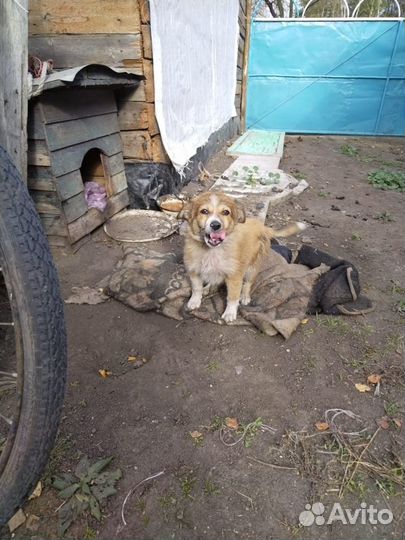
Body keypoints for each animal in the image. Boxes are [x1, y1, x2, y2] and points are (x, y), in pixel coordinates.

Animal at [178, 192, 304, 322]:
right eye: (204, 211)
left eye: (226, 212)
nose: (216, 225)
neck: (212, 251)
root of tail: (261, 226)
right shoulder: (193, 271)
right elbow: (196, 288)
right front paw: (194, 301)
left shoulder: (235, 276)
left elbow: (233, 296)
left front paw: (230, 313)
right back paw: (208, 287)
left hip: (251, 268)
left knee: (248, 284)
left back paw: (244, 296)